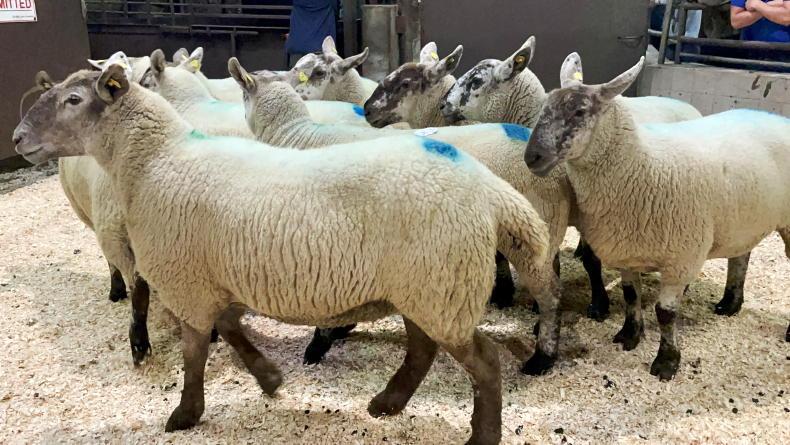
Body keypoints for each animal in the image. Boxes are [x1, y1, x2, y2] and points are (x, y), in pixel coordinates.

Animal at [524, 55, 790, 380]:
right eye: (545, 107)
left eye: (579, 111)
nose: (531, 157)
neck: (641, 165)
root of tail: (778, 118)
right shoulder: (628, 250)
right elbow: (630, 295)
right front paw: (630, 334)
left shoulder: (681, 258)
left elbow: (665, 313)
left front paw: (666, 362)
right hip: (742, 218)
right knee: (741, 255)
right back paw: (730, 303)